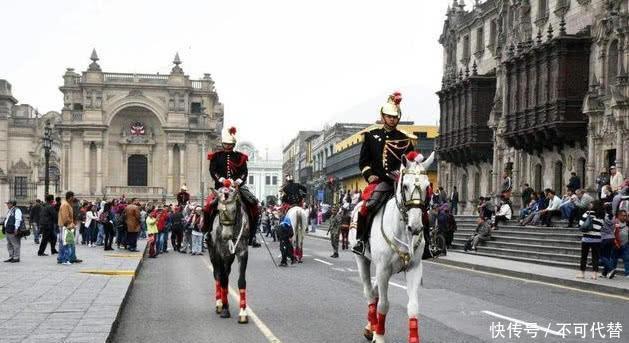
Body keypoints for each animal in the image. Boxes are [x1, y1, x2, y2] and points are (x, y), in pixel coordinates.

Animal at [350, 153, 434, 343]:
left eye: (427, 186)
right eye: (405, 185)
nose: (415, 227)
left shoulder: (414, 269)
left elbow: (413, 307)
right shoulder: (383, 270)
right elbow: (383, 304)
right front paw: (379, 336)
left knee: (374, 292)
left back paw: (370, 327)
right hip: (362, 260)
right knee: (370, 293)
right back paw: (372, 328)